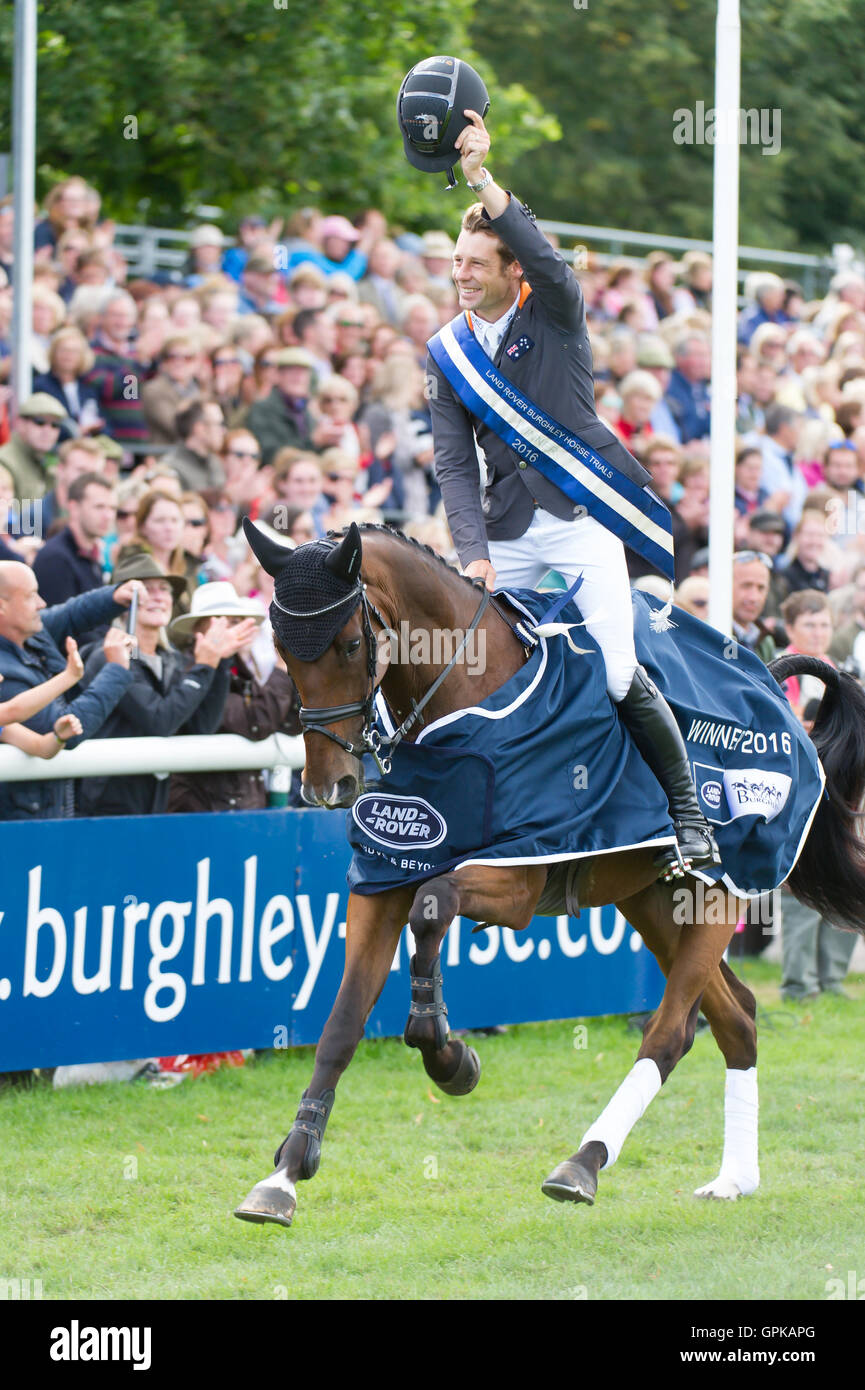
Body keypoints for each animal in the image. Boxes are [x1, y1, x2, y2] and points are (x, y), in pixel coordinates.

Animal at [233, 522, 865, 1228]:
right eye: (281, 651)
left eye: (348, 644)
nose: (328, 788)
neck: (465, 699)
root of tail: (769, 681)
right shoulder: (382, 877)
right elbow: (342, 1024)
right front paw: (286, 1172)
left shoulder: (516, 877)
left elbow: (433, 904)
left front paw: (447, 1054)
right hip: (656, 900)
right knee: (738, 1018)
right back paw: (734, 1179)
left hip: (714, 899)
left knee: (672, 1032)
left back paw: (583, 1164)